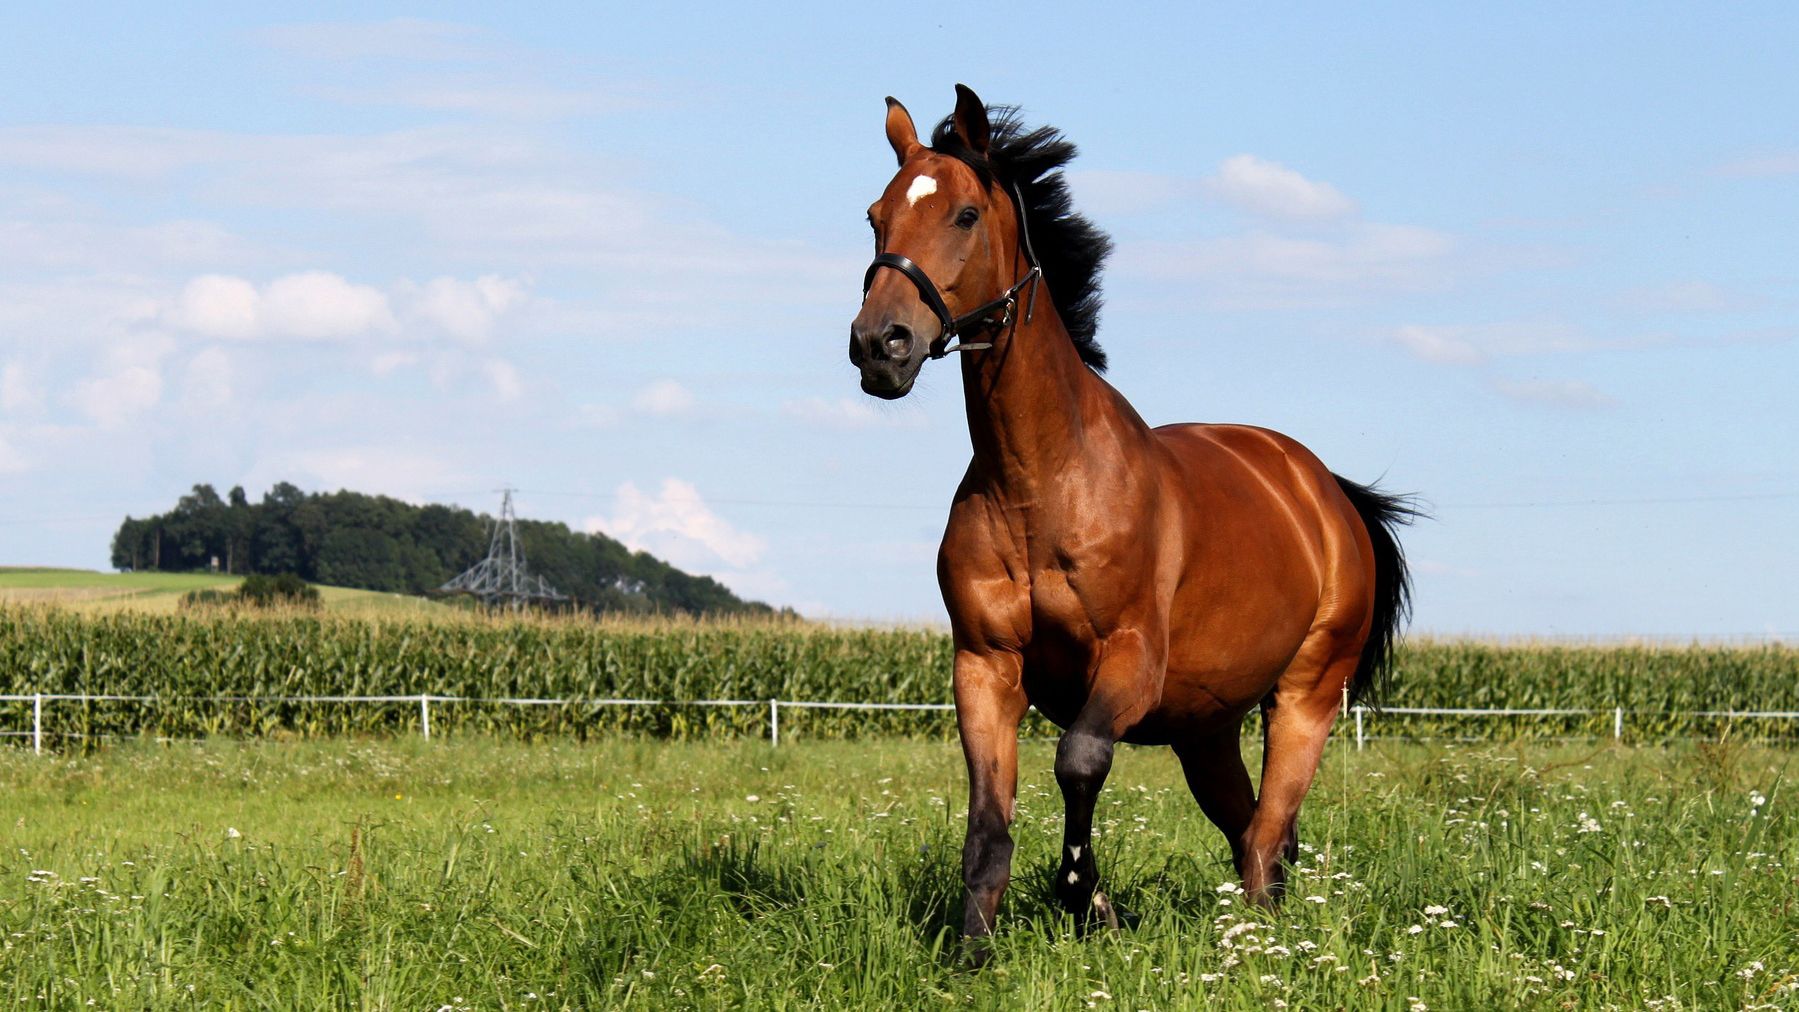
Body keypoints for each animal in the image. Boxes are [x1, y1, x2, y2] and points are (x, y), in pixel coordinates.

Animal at [849, 87, 1410, 949]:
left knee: (1267, 831)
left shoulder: (1128, 660)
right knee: (1251, 828)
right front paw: (975, 948)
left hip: (1306, 695)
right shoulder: (983, 665)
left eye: (965, 214)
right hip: (1205, 728)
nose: (880, 345)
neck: (1040, 485)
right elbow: (987, 823)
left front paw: (1087, 897)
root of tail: (1327, 492)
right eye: (875, 216)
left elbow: (1079, 759)